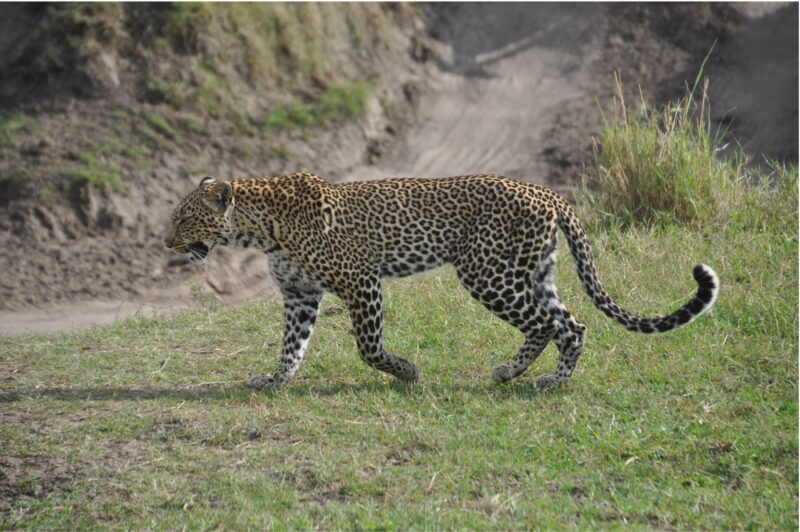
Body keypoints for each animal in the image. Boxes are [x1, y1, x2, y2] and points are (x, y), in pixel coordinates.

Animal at [162, 175, 720, 390]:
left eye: (184, 218)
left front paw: (406, 371)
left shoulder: (361, 279)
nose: (166, 243)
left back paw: (548, 382)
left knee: (555, 326)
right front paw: (275, 381)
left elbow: (368, 346)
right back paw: (517, 373)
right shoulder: (301, 296)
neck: (259, 230)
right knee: (566, 322)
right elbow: (291, 347)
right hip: (533, 272)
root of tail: (545, 191)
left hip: (486, 272)